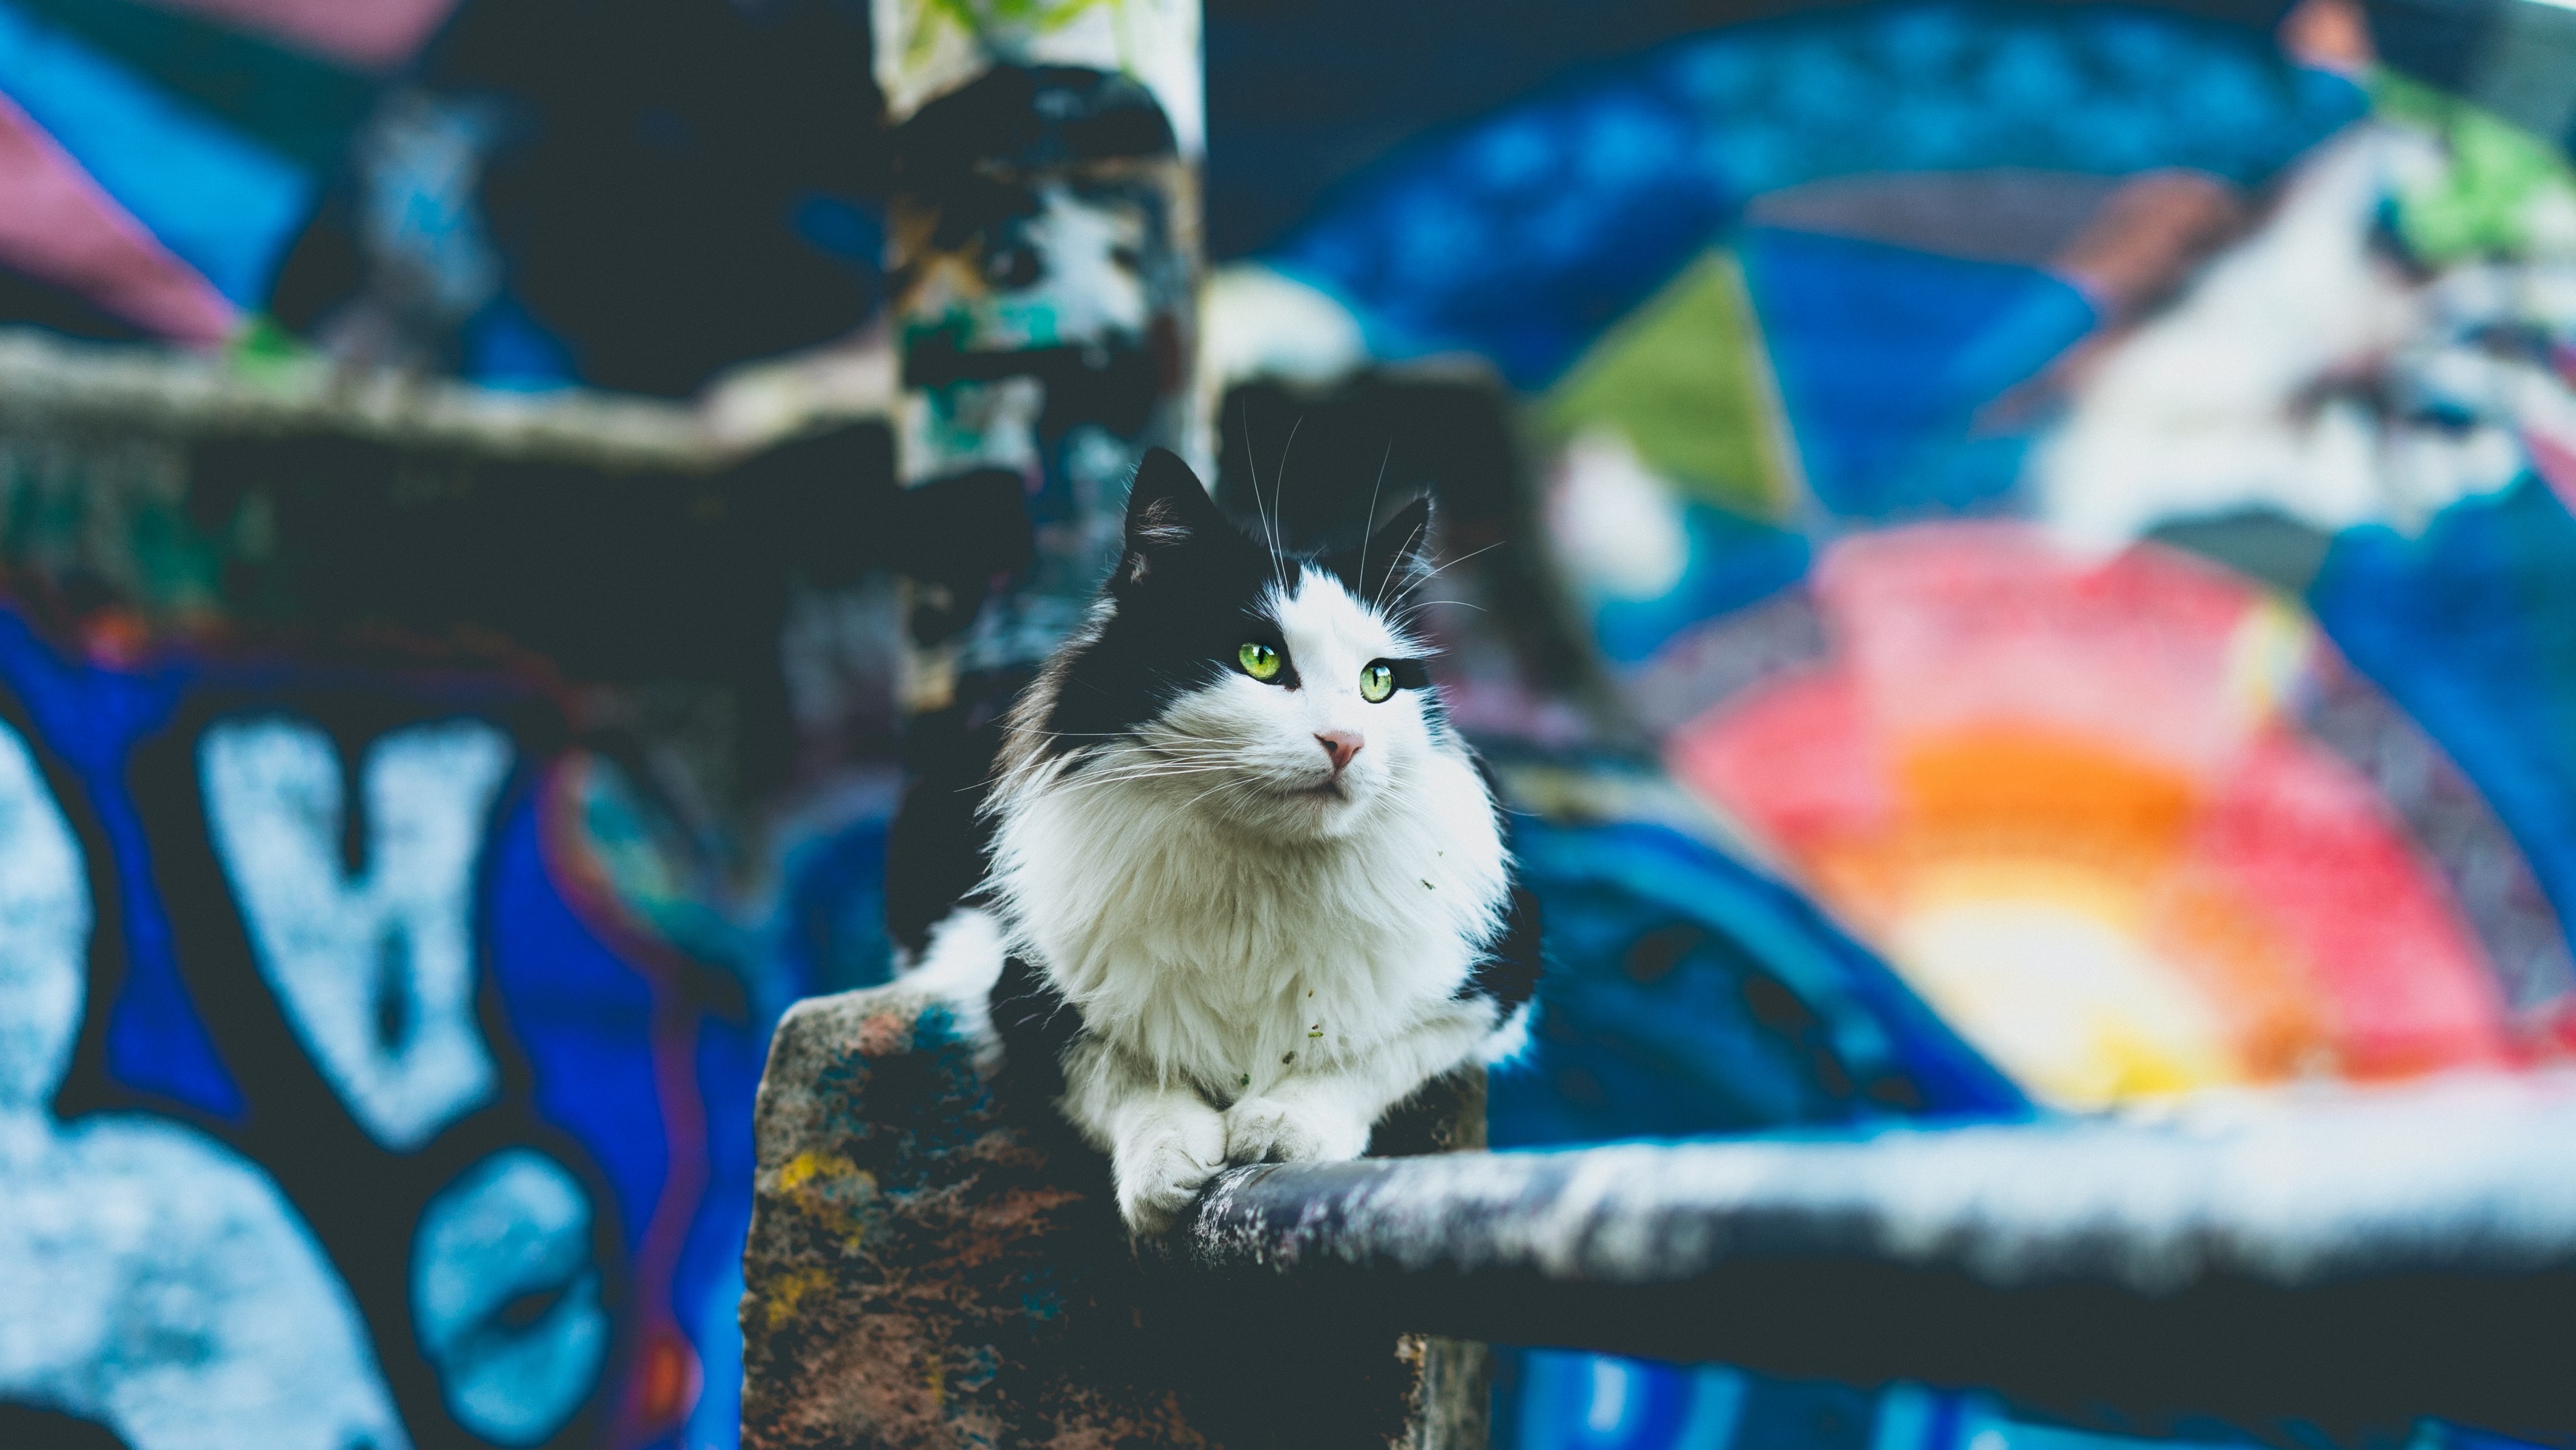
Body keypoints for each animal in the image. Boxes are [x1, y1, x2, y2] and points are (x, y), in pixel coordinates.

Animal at [917, 446, 1535, 1236]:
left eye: (1377, 682)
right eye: (1260, 659)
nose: (1348, 741)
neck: (1259, 881)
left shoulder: (1494, 981)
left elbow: (1365, 1055)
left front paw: (1283, 1124)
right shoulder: (1022, 995)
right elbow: (1124, 1076)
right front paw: (1165, 1162)